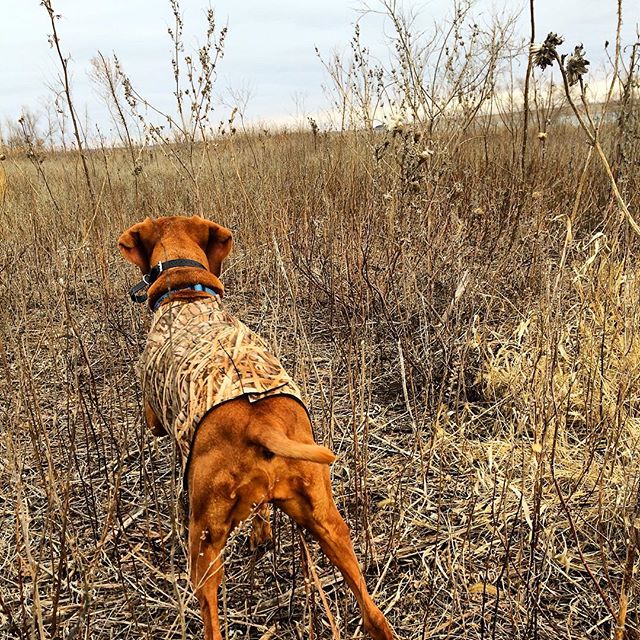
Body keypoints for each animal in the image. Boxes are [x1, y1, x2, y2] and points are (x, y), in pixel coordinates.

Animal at [117, 216, 392, 640]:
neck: (187, 295)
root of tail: (260, 423)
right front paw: (261, 535)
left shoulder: (157, 419)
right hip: (329, 523)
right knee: (371, 613)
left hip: (204, 543)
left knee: (210, 613)